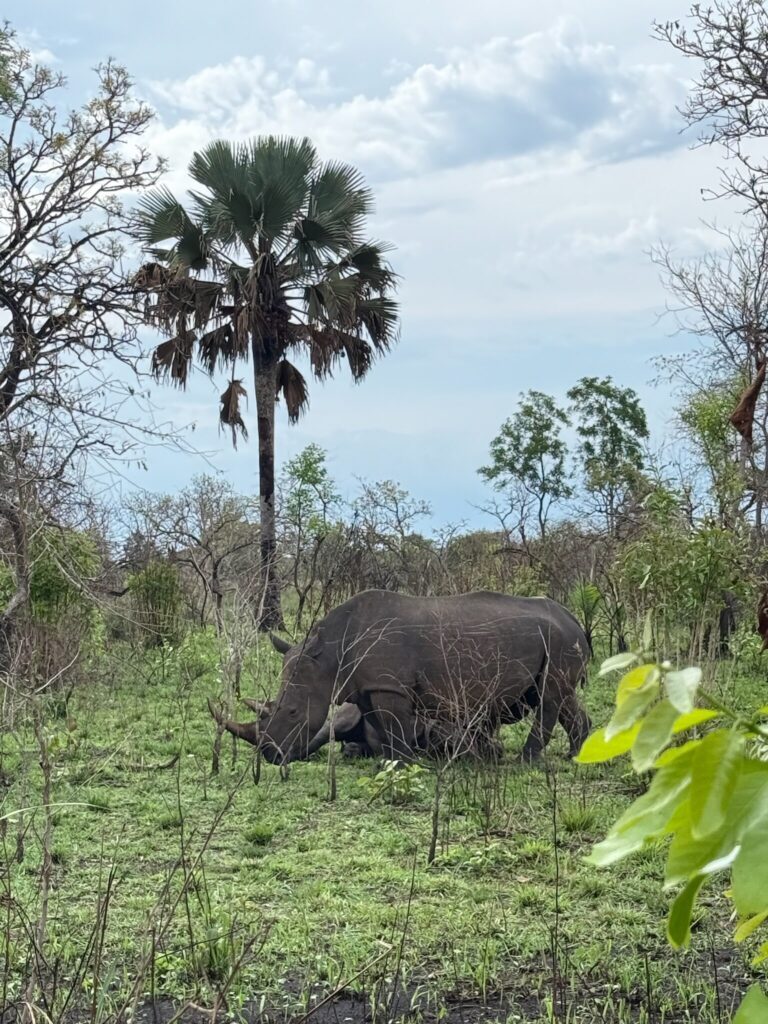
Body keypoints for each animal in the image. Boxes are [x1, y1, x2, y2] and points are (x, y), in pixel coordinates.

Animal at [259, 590, 590, 765]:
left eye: (292, 712)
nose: (270, 754)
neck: (330, 653)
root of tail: (572, 618)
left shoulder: (389, 686)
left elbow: (394, 725)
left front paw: (402, 764)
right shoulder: (370, 687)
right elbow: (382, 725)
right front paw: (391, 760)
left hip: (558, 641)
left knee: (548, 698)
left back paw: (526, 761)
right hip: (558, 641)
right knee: (561, 697)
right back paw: (576, 755)